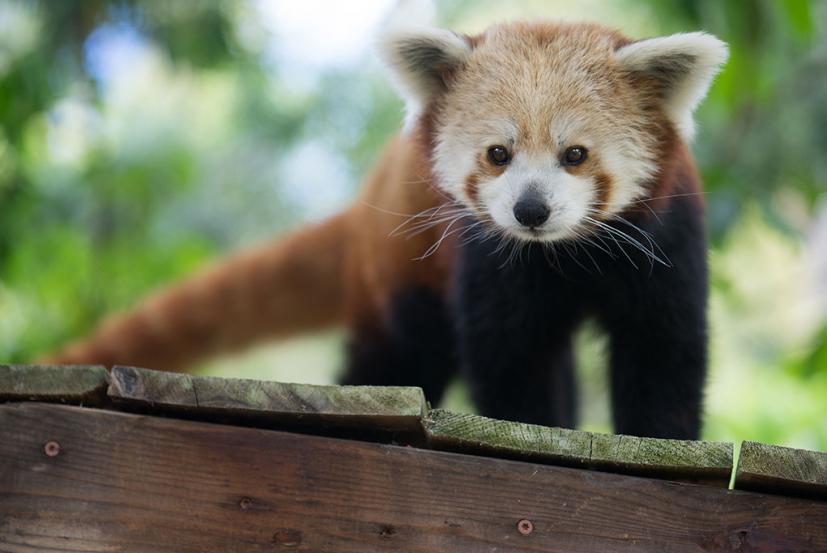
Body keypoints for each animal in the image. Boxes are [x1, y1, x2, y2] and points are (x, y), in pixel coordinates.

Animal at [43, 19, 732, 438]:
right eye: (498, 154)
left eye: (576, 155)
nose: (530, 211)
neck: (564, 253)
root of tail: (368, 196)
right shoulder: (485, 257)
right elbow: (511, 360)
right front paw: (539, 425)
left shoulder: (663, 239)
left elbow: (663, 351)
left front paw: (662, 439)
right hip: (401, 274)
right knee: (398, 355)